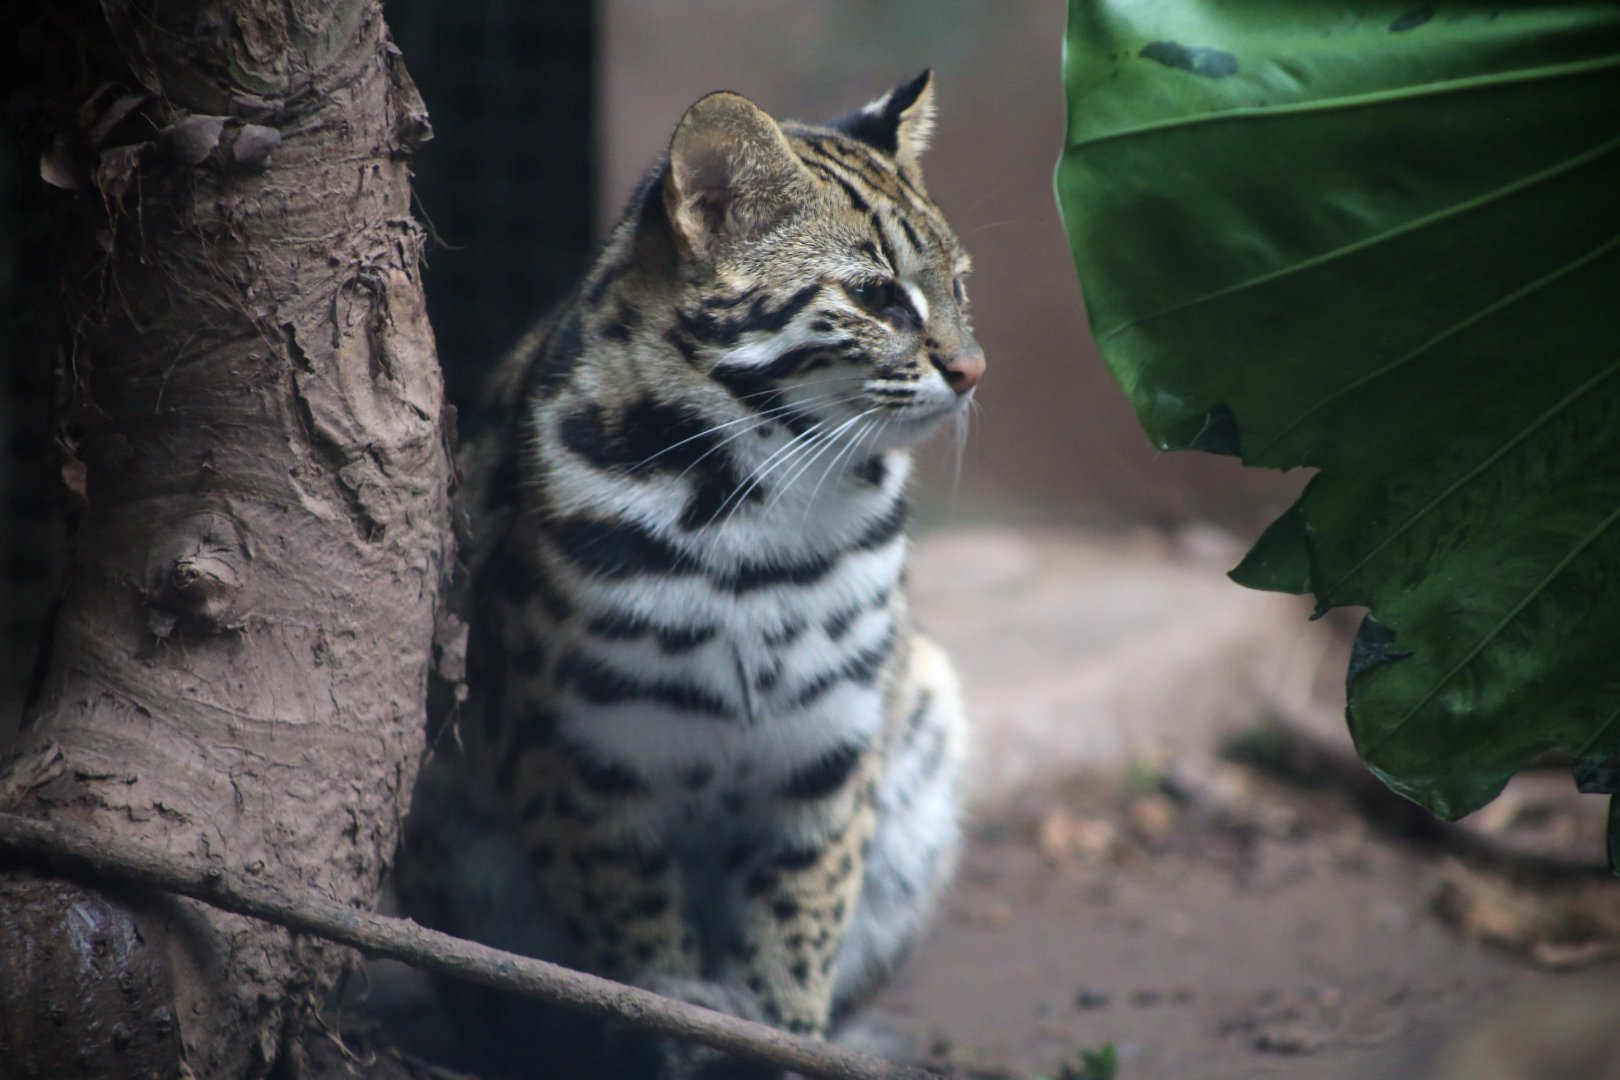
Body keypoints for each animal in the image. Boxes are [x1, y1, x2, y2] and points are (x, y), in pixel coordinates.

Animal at [395, 70, 983, 1079]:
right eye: (877, 295)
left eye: (960, 283)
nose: (975, 370)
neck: (767, 506)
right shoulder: (576, 750)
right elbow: (634, 932)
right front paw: (679, 1025)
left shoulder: (828, 748)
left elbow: (802, 914)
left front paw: (783, 1034)